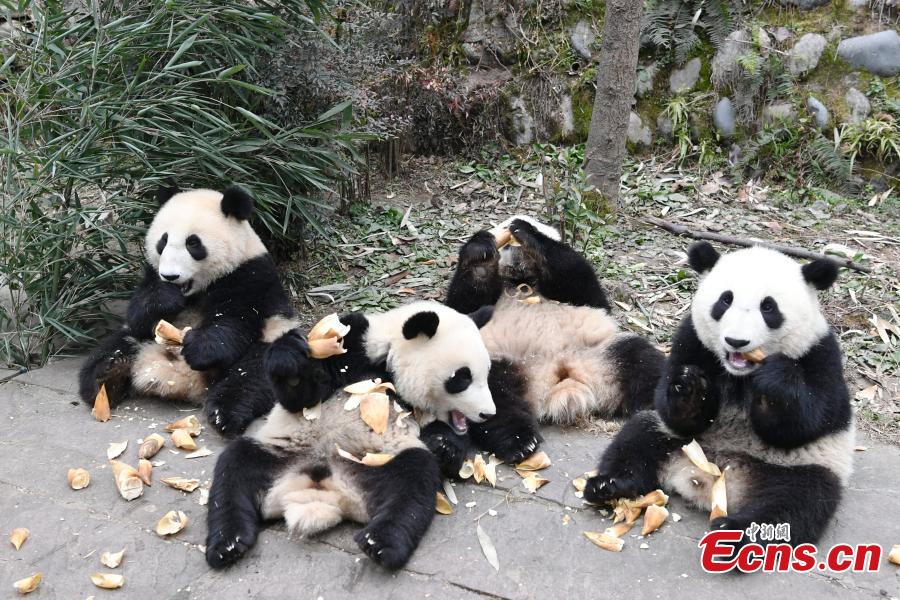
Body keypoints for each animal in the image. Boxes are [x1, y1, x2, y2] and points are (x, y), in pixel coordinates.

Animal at [78, 184, 298, 435]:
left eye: (193, 243)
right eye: (163, 241)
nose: (170, 276)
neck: (196, 290)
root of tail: (183, 382)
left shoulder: (251, 276)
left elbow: (235, 320)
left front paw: (199, 349)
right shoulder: (150, 273)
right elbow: (138, 313)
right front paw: (166, 297)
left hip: (271, 340)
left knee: (251, 376)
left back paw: (225, 414)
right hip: (135, 342)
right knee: (114, 349)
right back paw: (103, 380)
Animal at [205, 301, 496, 570]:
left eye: (486, 375)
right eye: (462, 378)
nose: (488, 414)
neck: (390, 366)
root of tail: (322, 491)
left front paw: (444, 445)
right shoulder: (354, 343)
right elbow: (305, 397)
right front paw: (291, 364)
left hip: (378, 462)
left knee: (414, 483)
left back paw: (380, 543)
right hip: (279, 452)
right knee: (233, 471)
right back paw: (227, 543)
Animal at [434, 216, 666, 475]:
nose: (510, 246)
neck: (521, 280)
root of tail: (556, 382)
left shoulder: (580, 296)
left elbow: (577, 277)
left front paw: (526, 232)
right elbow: (465, 303)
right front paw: (481, 254)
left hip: (600, 354)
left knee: (642, 361)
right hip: (496, 364)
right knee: (494, 399)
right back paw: (518, 442)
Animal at [583, 242, 853, 547]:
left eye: (768, 307)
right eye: (725, 301)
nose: (737, 341)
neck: (740, 374)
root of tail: (707, 479)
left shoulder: (821, 354)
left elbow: (810, 419)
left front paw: (775, 379)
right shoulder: (691, 340)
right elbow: (671, 406)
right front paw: (691, 388)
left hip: (798, 467)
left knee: (795, 503)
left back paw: (736, 533)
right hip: (678, 441)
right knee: (636, 440)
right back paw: (608, 486)